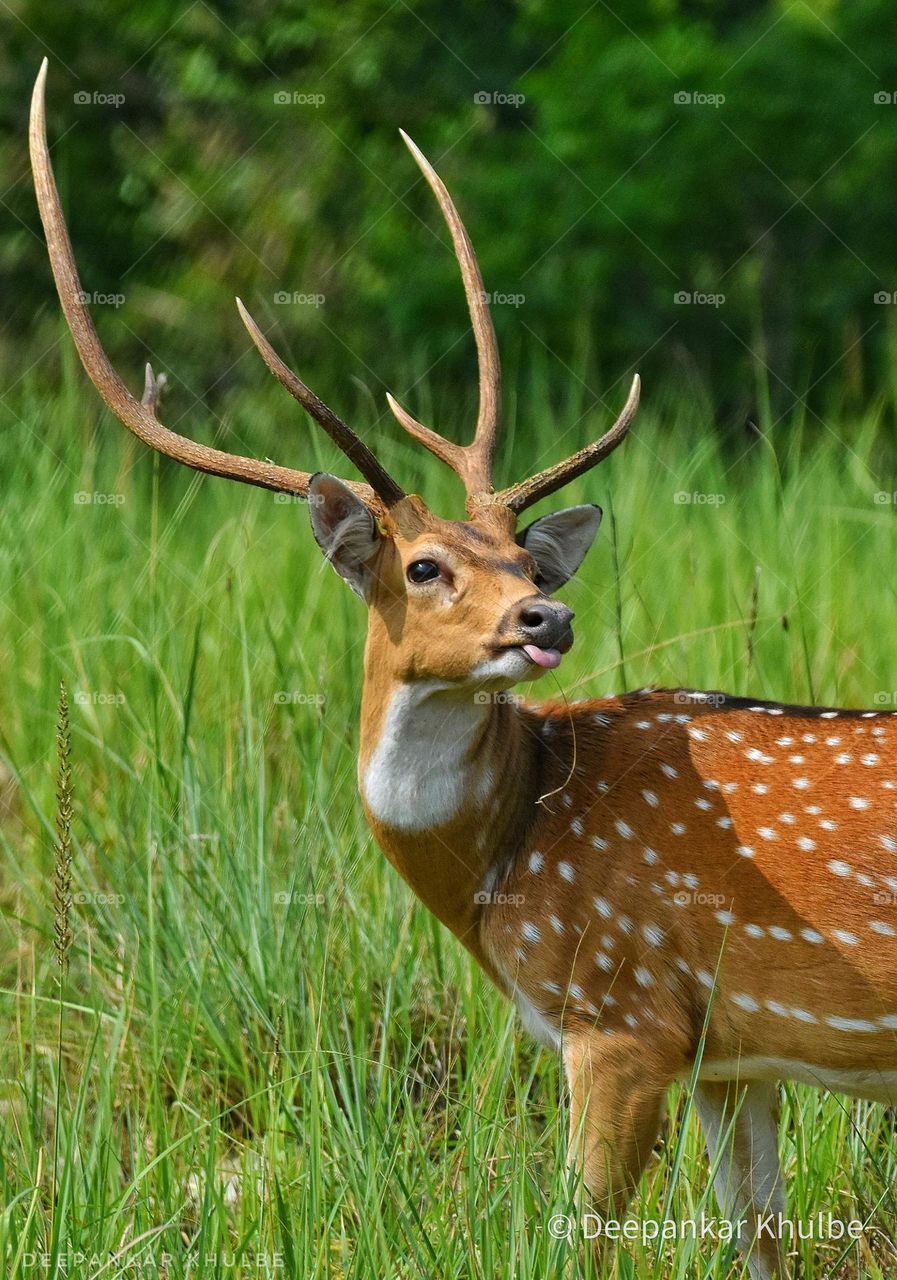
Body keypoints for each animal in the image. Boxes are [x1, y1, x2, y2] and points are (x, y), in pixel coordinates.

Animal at [30, 59, 896, 1280]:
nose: (550, 613)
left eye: (527, 558)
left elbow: (583, 1236)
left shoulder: (621, 1009)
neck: (507, 855)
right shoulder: (731, 1053)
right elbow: (761, 1237)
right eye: (427, 564)